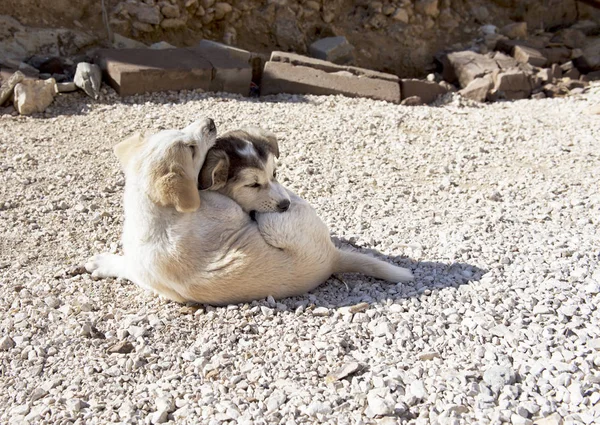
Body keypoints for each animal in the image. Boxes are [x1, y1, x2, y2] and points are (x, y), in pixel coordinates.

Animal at [85, 119, 412, 304]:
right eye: (190, 147)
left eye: (177, 132)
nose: (210, 120)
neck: (154, 213)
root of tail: (333, 257)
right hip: (273, 221)